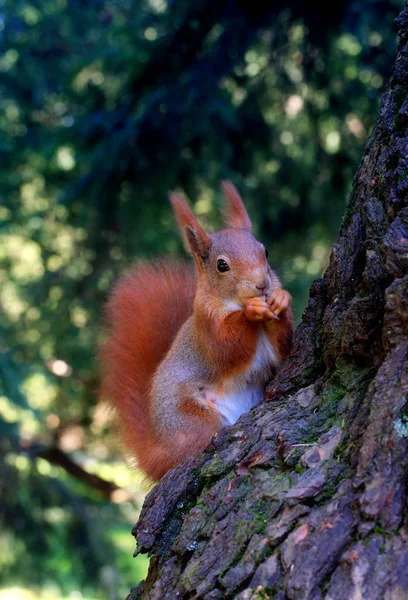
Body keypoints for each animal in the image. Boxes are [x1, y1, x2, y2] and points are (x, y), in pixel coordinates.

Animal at [101, 180, 294, 480]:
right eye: (222, 265)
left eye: (265, 252)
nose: (262, 284)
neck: (232, 302)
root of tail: (158, 451)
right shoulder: (208, 327)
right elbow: (228, 348)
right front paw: (251, 312)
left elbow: (281, 348)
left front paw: (281, 300)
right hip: (191, 419)